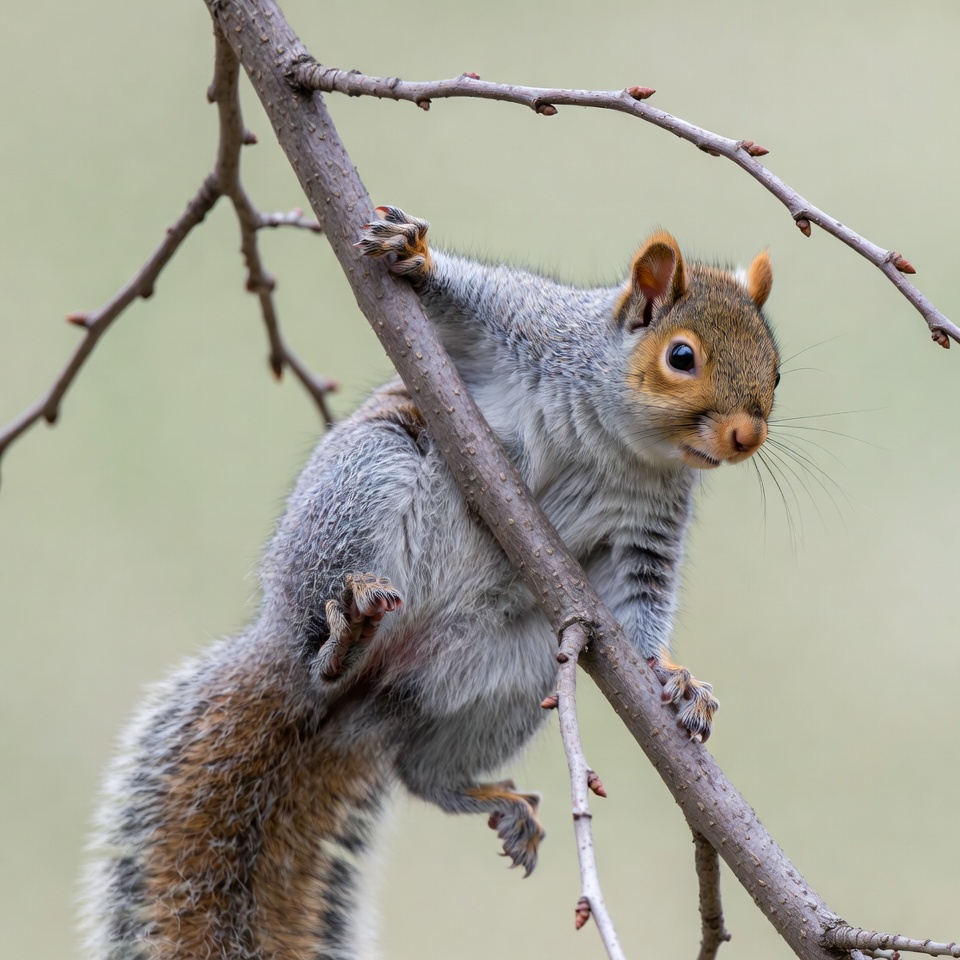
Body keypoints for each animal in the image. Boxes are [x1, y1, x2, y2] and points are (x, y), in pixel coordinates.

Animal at [83, 206, 780, 959]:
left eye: (776, 372)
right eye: (681, 357)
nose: (746, 437)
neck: (618, 442)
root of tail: (353, 701)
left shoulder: (649, 529)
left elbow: (641, 604)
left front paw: (675, 680)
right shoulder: (528, 331)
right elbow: (467, 306)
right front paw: (414, 257)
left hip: (519, 672)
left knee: (421, 776)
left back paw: (487, 799)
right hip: (364, 484)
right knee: (319, 654)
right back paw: (341, 642)